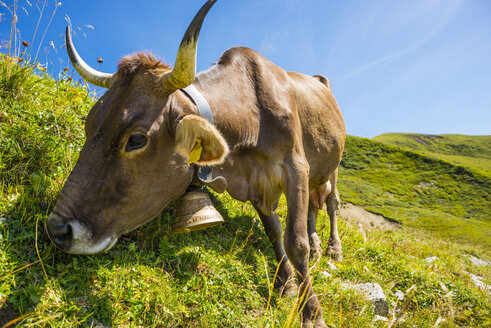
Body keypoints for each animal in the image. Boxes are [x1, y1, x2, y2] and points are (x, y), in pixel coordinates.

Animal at [46, 1, 346, 326]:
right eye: (89, 124)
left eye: (136, 139)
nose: (58, 229)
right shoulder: (256, 183)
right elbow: (274, 231)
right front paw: (287, 283)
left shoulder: (295, 168)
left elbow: (295, 243)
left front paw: (312, 312)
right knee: (314, 207)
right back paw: (318, 245)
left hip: (333, 167)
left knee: (331, 204)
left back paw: (333, 249)